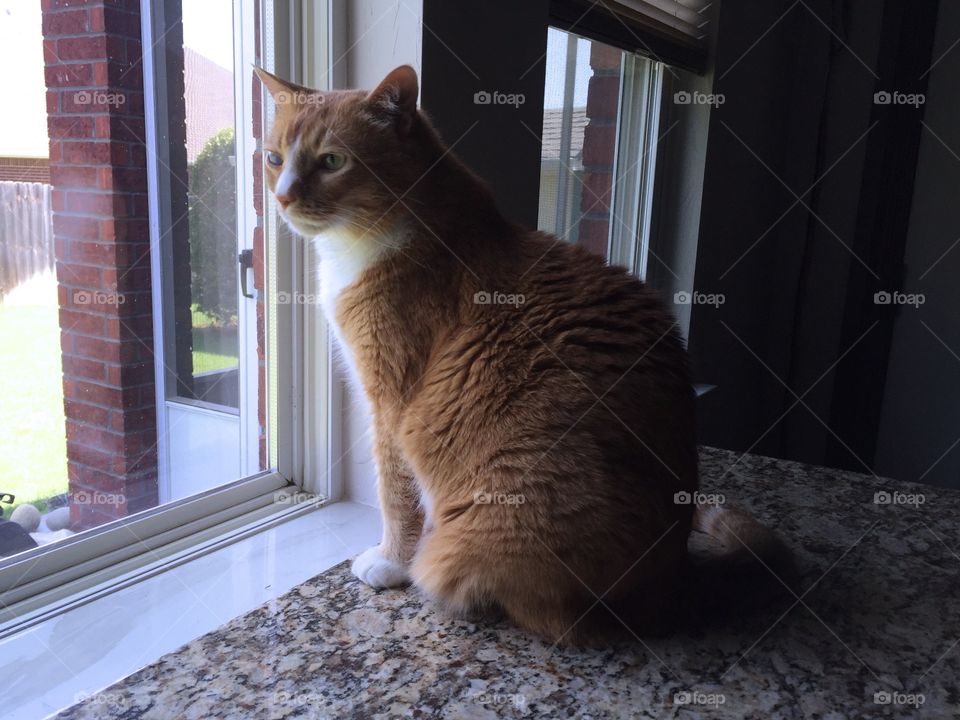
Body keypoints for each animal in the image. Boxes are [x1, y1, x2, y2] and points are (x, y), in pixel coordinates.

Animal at [255, 66, 788, 640]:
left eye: (332, 161)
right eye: (274, 159)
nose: (282, 198)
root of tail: (671, 581)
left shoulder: (393, 404)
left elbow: (396, 493)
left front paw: (391, 561)